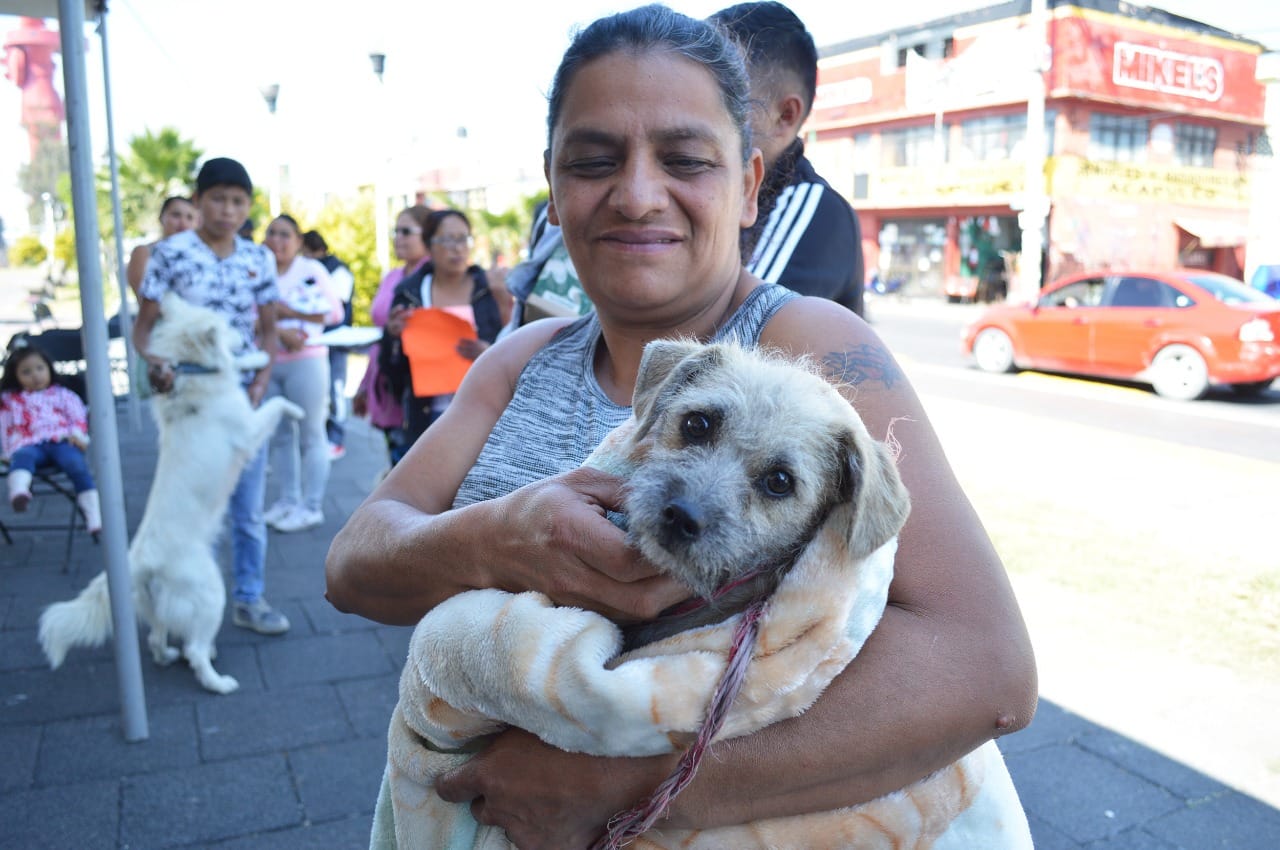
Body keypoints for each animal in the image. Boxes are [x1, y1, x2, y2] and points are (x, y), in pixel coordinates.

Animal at [38, 295, 303, 696]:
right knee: (194, 649)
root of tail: (138, 559)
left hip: (157, 604)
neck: (193, 373)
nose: (249, 335)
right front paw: (296, 409)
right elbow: (274, 406)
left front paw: (255, 358)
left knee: (157, 638)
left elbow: (238, 368)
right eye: (228, 326)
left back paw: (168, 657)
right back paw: (218, 682)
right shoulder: (248, 430)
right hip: (211, 593)